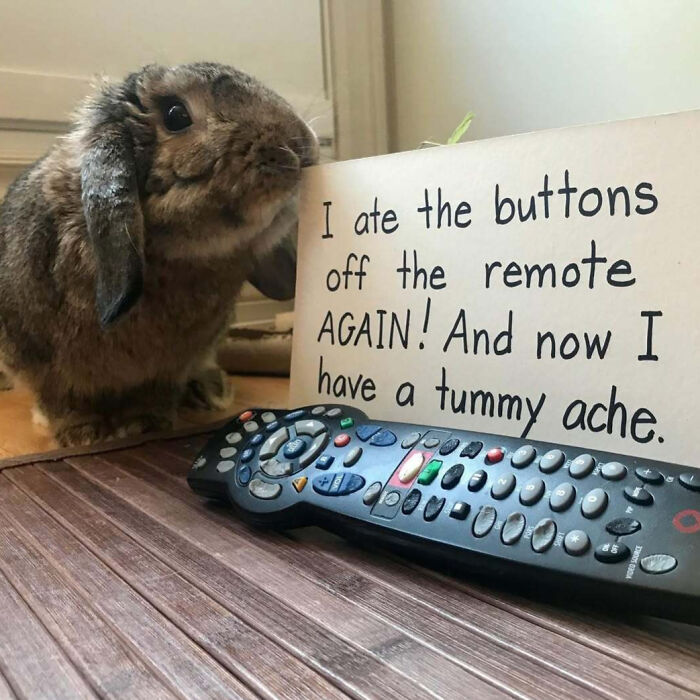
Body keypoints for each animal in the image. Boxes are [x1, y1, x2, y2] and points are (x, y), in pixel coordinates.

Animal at [0, 62, 318, 446]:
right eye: (176, 115)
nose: (302, 146)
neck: (179, 255)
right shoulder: (42, 364)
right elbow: (63, 399)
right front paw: (83, 435)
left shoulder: (169, 369)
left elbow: (156, 393)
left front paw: (145, 425)